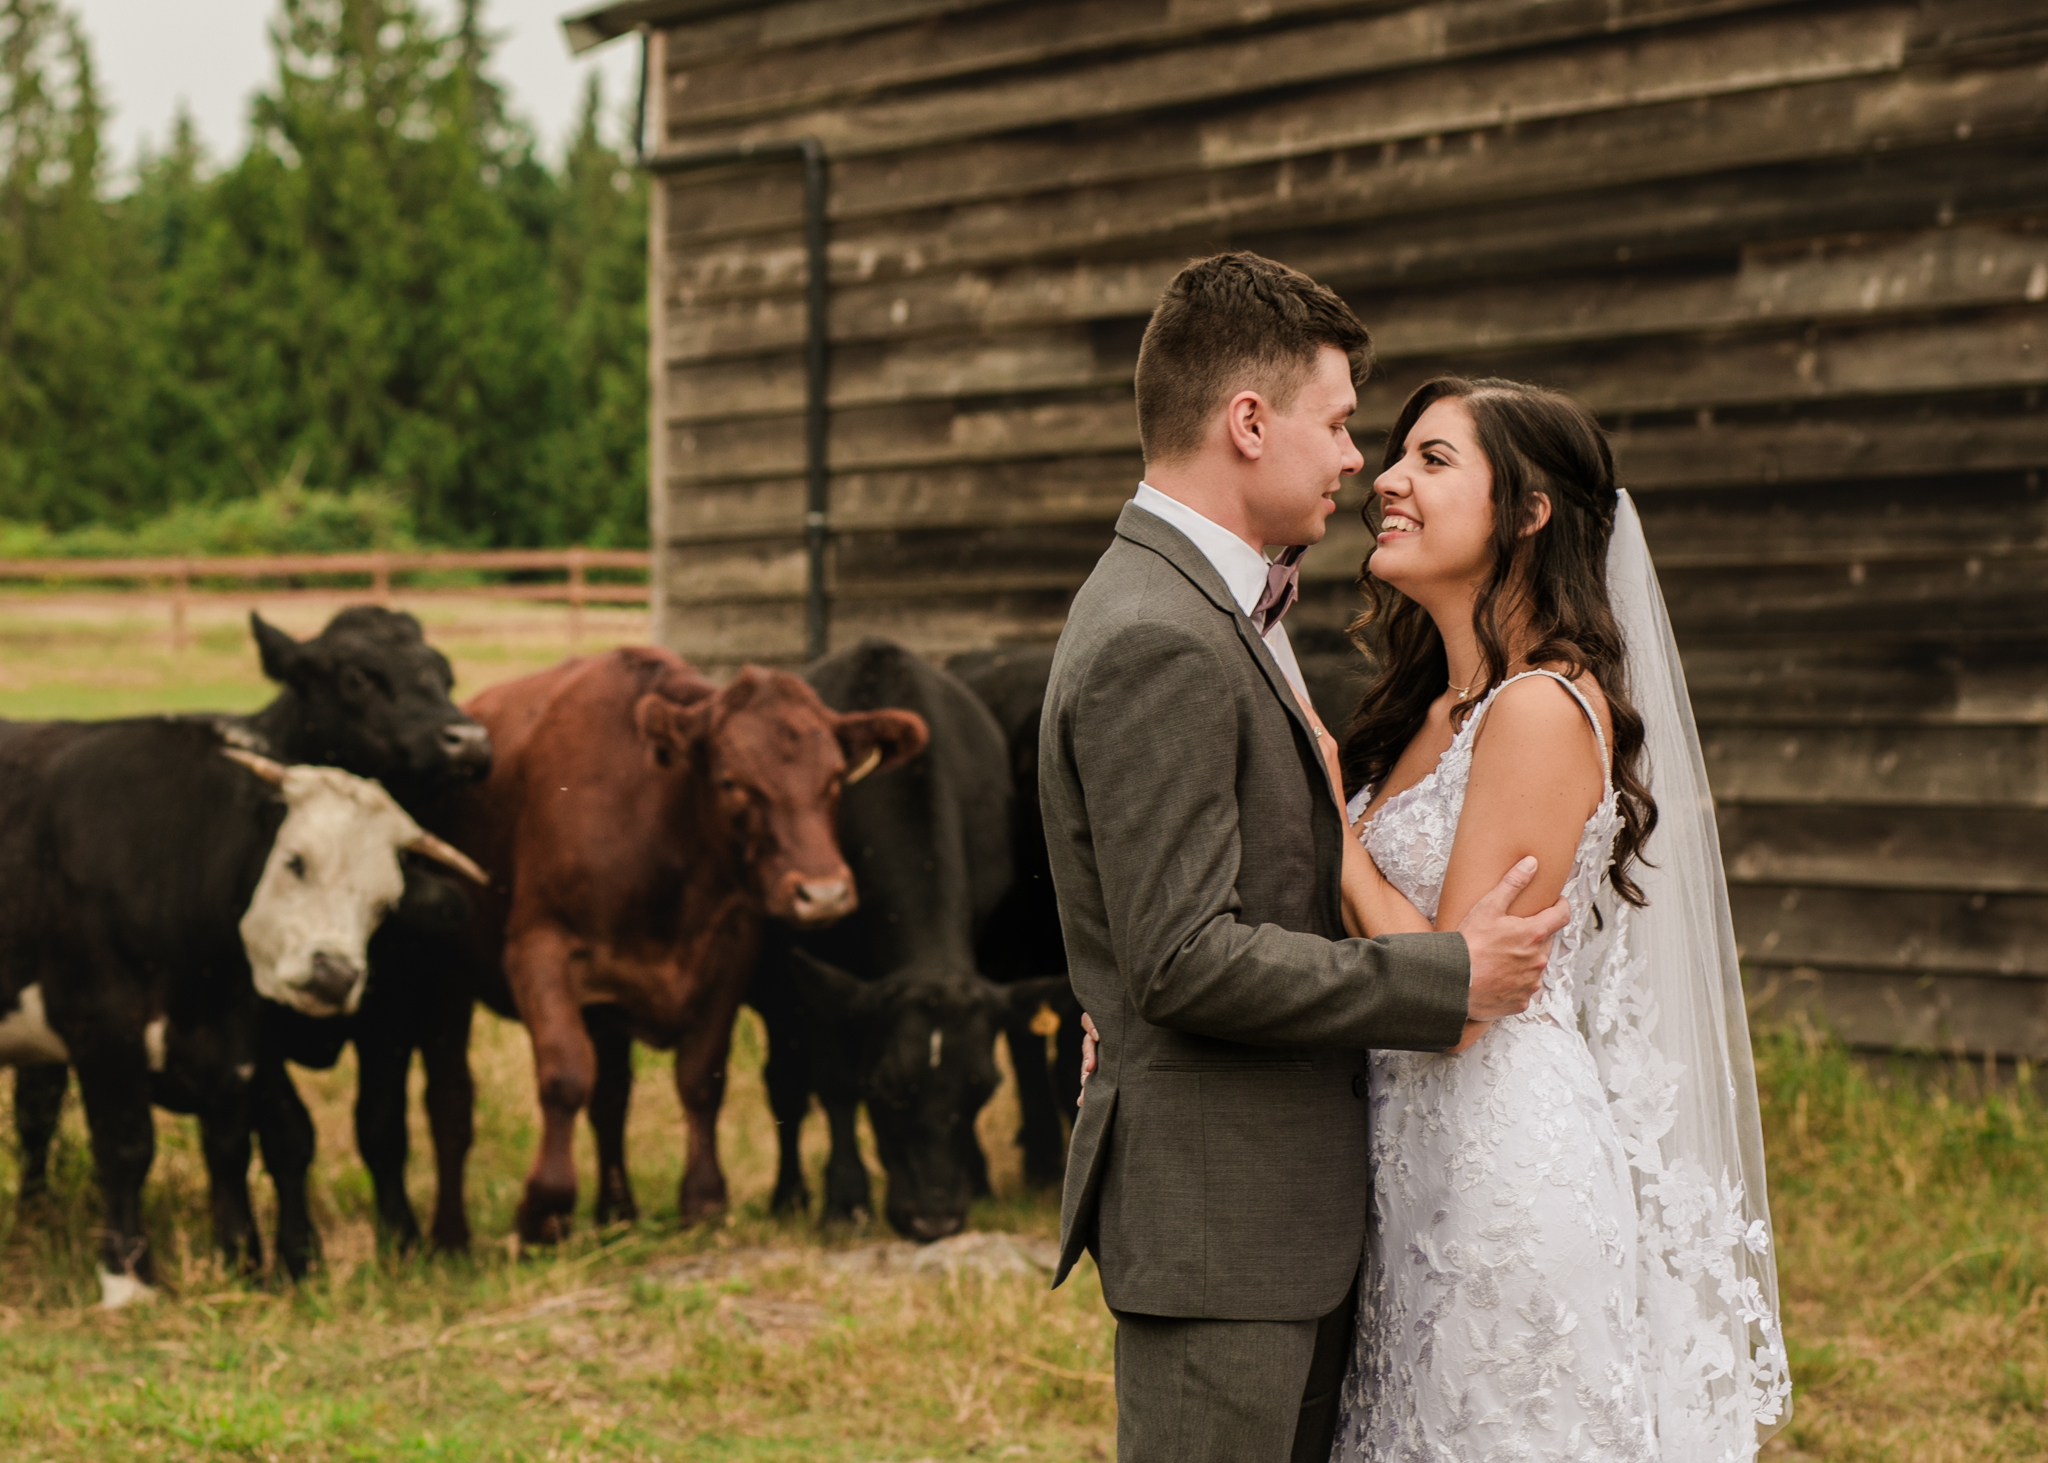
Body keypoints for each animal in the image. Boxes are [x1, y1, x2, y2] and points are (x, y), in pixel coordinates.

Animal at [7, 605, 495, 1278]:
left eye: (445, 676)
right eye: (356, 677)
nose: (467, 740)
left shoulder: (383, 1021)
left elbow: (377, 1129)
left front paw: (397, 1241)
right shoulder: (226, 1032)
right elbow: (282, 1136)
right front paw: (296, 1255)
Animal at [356, 646, 928, 1249]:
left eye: (836, 777)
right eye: (731, 781)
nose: (823, 894)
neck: (654, 827)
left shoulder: (731, 951)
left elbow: (700, 1077)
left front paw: (702, 1199)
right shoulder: (538, 950)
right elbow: (565, 1075)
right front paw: (544, 1210)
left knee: (611, 1097)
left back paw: (618, 1210)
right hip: (444, 981)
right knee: (451, 1104)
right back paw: (450, 1236)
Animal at [752, 638, 1069, 1242]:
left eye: (979, 1089)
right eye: (887, 1087)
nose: (935, 1218)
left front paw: (977, 1177)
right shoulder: (821, 977)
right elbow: (835, 1081)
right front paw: (845, 1201)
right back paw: (788, 1196)